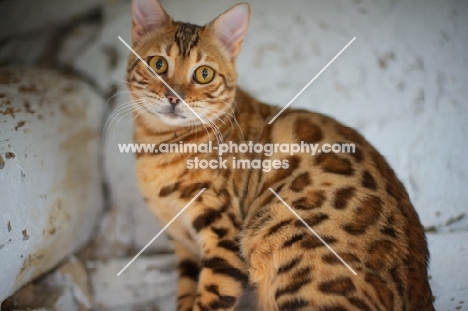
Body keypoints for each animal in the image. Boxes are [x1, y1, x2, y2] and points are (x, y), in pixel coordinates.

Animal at [125, 0, 436, 310]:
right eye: (158, 64)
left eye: (204, 74)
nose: (174, 96)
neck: (158, 147)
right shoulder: (183, 246)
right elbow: (186, 295)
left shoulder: (223, 236)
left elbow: (211, 297)